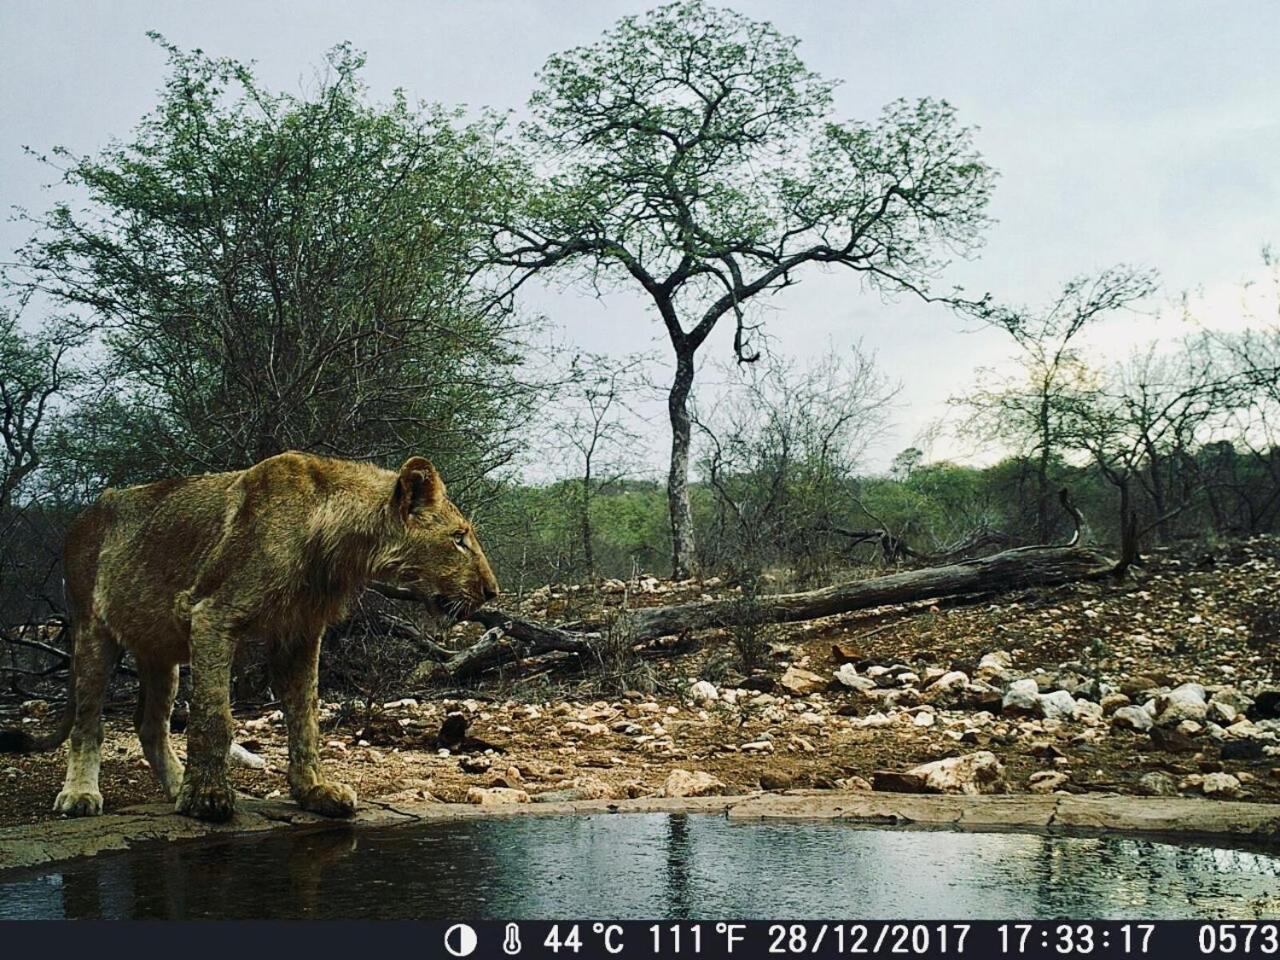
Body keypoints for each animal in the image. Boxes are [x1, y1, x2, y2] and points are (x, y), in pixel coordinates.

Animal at [0, 450, 496, 819]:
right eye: (459, 538)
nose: (492, 591)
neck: (337, 545)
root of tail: (80, 517)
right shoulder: (212, 616)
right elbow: (214, 719)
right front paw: (208, 799)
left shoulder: (299, 635)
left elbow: (305, 718)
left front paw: (315, 791)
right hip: (91, 629)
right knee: (87, 721)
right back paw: (82, 795)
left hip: (160, 651)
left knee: (150, 724)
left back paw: (176, 788)